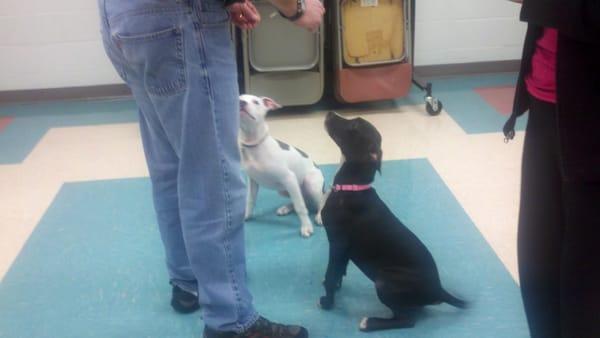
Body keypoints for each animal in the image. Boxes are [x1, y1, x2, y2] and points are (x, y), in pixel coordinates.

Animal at [239, 93, 326, 238]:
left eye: (256, 102)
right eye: (238, 98)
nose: (241, 103)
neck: (255, 145)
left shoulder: (289, 178)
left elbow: (300, 206)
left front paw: (306, 227)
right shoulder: (253, 181)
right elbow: (250, 200)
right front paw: (246, 216)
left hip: (311, 184)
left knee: (321, 200)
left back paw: (320, 215)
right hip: (284, 189)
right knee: (303, 199)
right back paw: (286, 208)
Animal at [322, 111, 466, 332]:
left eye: (354, 126)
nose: (329, 113)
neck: (352, 187)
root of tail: (439, 290)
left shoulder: (337, 243)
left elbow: (331, 275)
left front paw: (327, 302)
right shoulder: (343, 249)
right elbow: (338, 271)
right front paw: (336, 288)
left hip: (384, 281)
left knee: (407, 320)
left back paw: (370, 322)